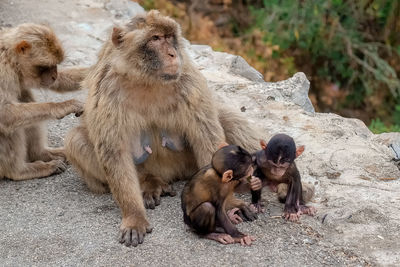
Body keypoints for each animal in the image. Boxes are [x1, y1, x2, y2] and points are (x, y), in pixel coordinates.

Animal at [0, 24, 85, 181]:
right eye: (45, 66)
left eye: (55, 65)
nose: (54, 76)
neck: (10, 58)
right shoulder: (2, 71)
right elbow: (3, 112)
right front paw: (62, 106)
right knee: (8, 124)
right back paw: (19, 171)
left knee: (25, 98)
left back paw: (41, 154)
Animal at [65, 11, 260, 248]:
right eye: (155, 38)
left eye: (169, 37)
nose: (172, 53)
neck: (146, 79)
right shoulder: (107, 89)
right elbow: (114, 152)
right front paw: (134, 216)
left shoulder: (189, 81)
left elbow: (208, 138)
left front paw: (230, 203)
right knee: (75, 139)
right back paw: (149, 183)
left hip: (188, 165)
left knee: (227, 119)